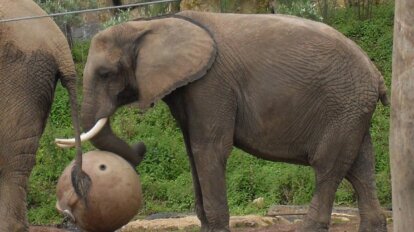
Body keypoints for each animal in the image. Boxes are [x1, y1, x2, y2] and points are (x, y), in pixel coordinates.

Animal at [58, 10, 388, 232]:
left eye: (105, 74)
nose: (140, 147)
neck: (153, 23)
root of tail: (376, 75)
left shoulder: (211, 84)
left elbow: (209, 150)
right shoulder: (187, 90)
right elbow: (193, 152)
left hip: (343, 106)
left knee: (328, 167)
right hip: (353, 111)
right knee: (360, 168)